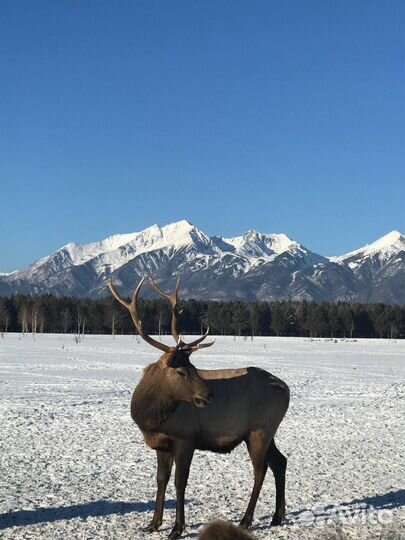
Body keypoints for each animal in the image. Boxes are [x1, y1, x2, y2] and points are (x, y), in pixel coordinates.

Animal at [109, 278, 288, 540]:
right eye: (181, 370)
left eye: (194, 367)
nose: (209, 394)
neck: (150, 417)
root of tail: (287, 390)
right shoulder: (161, 445)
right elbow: (160, 480)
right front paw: (153, 523)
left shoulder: (186, 438)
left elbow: (180, 482)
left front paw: (177, 528)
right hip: (267, 432)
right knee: (280, 462)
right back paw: (277, 516)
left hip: (260, 431)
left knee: (261, 469)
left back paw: (246, 520)